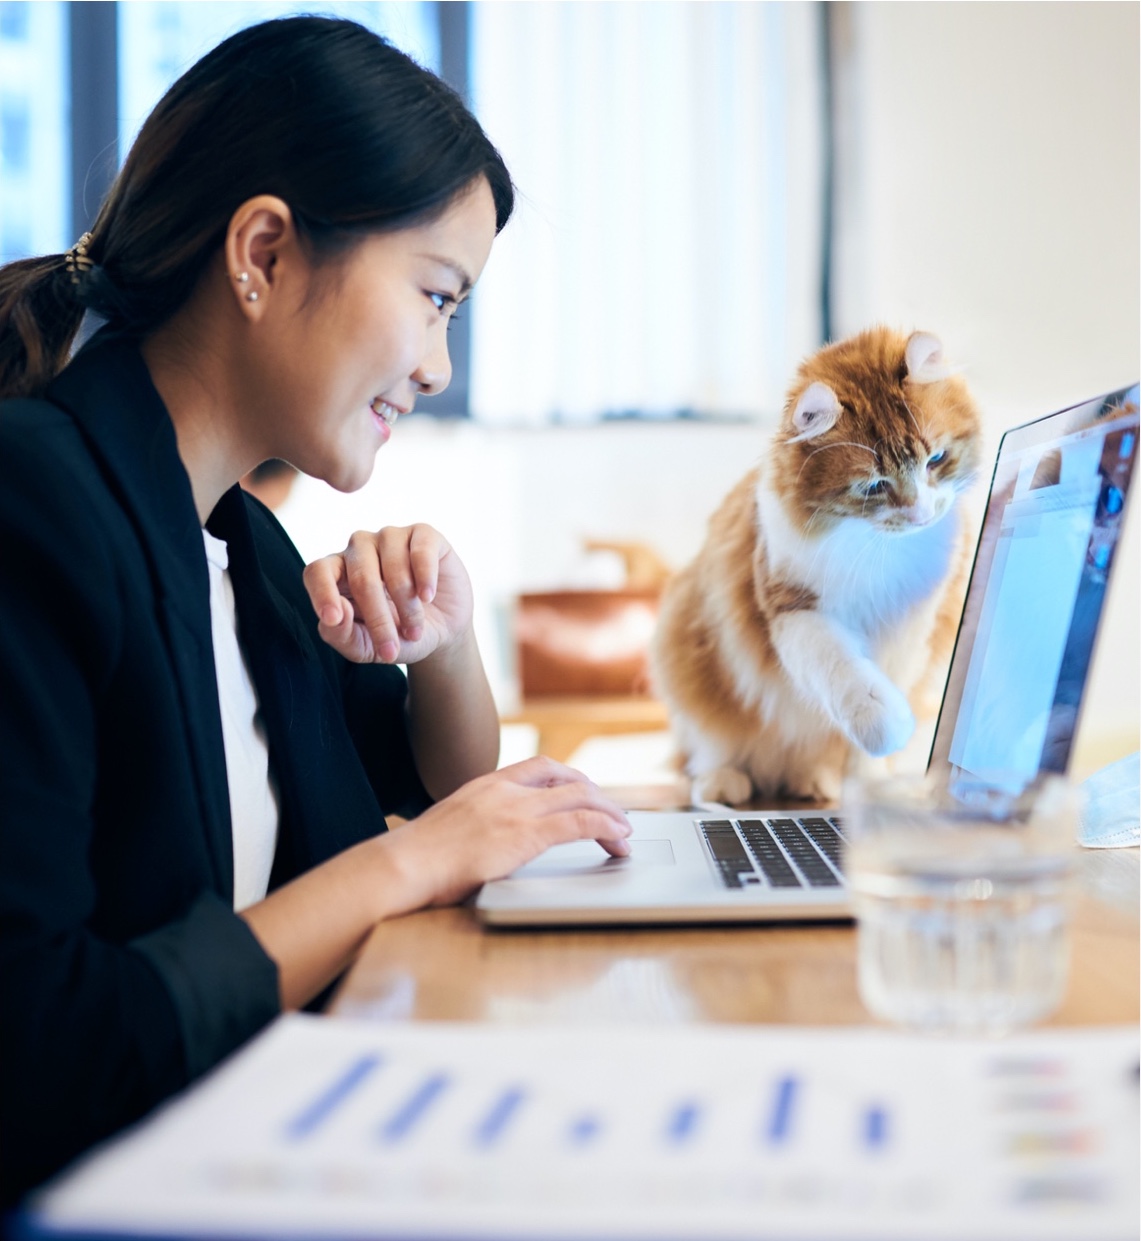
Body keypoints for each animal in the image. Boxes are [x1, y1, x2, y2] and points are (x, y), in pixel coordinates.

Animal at [655, 325, 988, 799]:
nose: (920, 514)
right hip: (684, 651)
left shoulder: (911, 631)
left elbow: (869, 743)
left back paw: (819, 783)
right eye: (874, 486)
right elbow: (845, 675)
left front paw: (870, 785)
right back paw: (726, 783)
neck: (878, 551)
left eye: (936, 460)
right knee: (707, 749)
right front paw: (883, 724)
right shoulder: (790, 608)